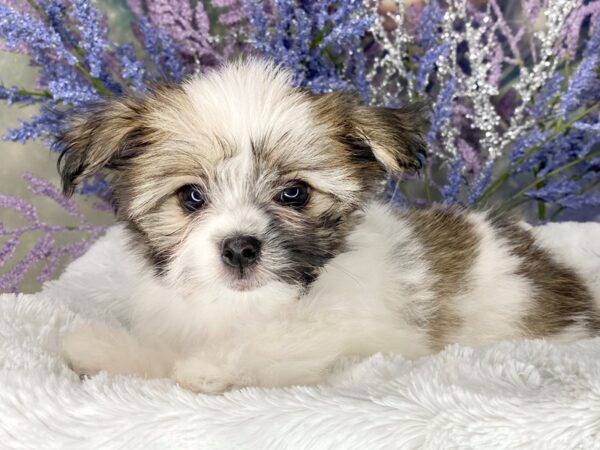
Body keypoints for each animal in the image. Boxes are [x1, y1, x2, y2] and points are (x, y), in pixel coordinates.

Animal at [58, 59, 600, 394]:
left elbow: (278, 343)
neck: (249, 307)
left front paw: (207, 368)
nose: (240, 248)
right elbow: (162, 353)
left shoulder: (350, 331)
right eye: (192, 196)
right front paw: (104, 347)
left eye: (294, 193)